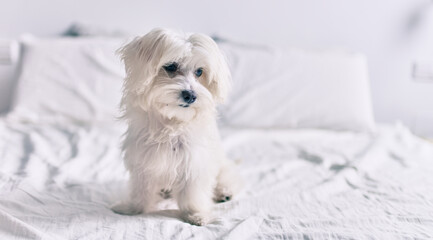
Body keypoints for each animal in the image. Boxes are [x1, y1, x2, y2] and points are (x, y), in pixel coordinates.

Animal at [111, 29, 243, 226]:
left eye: (199, 71)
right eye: (171, 66)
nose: (190, 95)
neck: (172, 123)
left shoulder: (194, 162)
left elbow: (193, 194)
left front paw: (196, 214)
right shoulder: (143, 161)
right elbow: (140, 189)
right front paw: (132, 208)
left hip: (221, 166)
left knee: (227, 177)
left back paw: (224, 192)